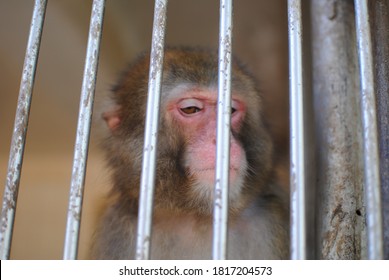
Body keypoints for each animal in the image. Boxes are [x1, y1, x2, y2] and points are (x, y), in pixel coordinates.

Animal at [91, 47, 288, 260]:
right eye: (191, 109)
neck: (197, 217)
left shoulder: (272, 218)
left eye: (230, 110)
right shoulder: (117, 232)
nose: (223, 139)